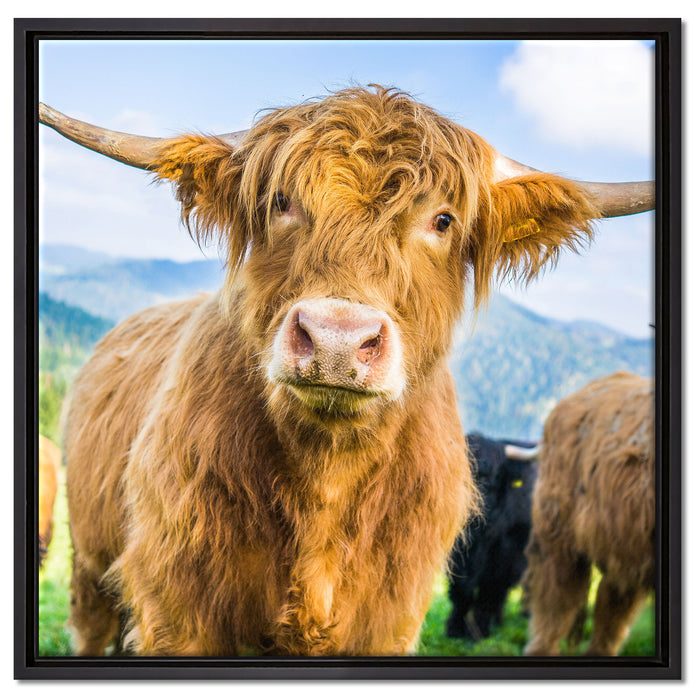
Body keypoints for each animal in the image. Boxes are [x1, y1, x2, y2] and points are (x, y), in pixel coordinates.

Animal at [445, 433, 538, 640]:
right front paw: (454, 630)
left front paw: (478, 633)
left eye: (491, 478)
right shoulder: (458, 556)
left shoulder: (504, 556)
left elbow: (488, 593)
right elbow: (461, 591)